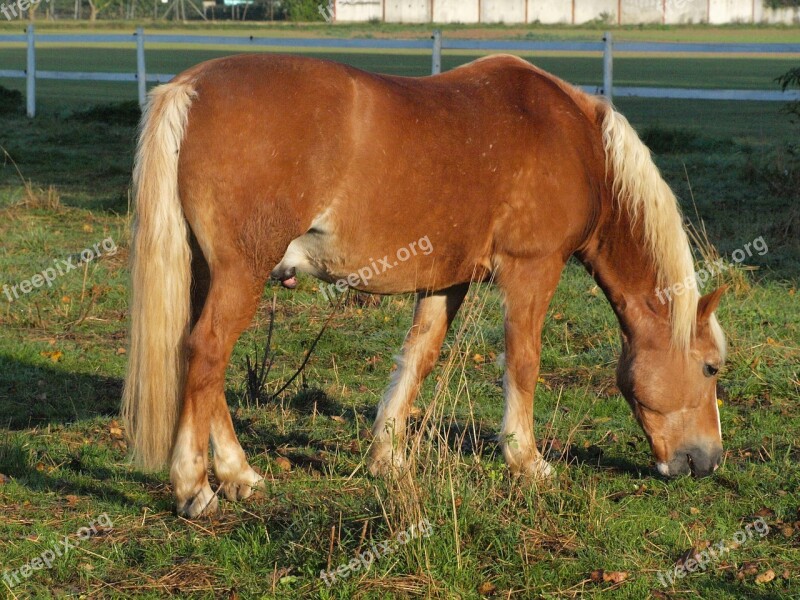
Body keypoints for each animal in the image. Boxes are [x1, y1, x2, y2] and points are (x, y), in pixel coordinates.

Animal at [122, 54, 728, 516]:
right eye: (710, 368)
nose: (708, 461)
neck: (576, 143)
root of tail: (191, 86)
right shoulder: (532, 270)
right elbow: (523, 361)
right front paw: (527, 461)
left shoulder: (446, 280)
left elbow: (419, 357)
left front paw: (387, 458)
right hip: (242, 272)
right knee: (206, 353)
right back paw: (195, 487)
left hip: (209, 273)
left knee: (203, 366)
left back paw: (239, 474)